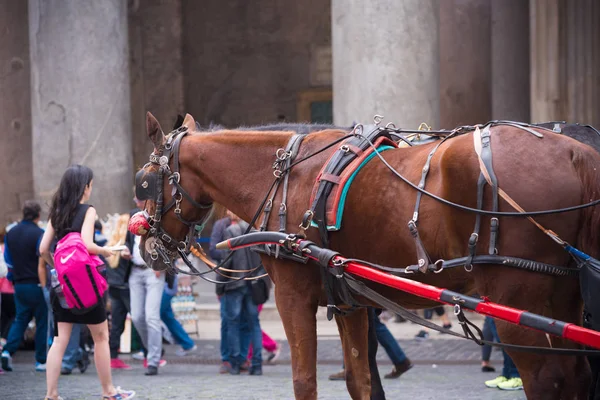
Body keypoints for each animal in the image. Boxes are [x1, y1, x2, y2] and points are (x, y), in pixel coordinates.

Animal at [136, 111, 600, 398]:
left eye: (144, 181)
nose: (145, 247)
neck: (288, 175)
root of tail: (577, 154)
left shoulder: (292, 294)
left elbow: (304, 381)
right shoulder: (350, 301)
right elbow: (360, 382)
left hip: (516, 301)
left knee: (546, 381)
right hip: (563, 296)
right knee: (577, 376)